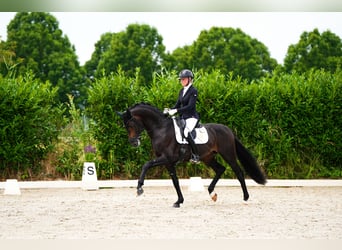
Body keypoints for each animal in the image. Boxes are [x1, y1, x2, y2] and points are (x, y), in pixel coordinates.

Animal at [119, 102, 266, 208]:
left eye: (131, 124)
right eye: (125, 126)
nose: (133, 143)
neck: (161, 129)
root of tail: (227, 129)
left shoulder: (167, 158)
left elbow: (146, 164)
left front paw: (139, 188)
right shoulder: (168, 162)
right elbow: (175, 181)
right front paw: (179, 201)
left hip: (228, 154)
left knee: (238, 172)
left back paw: (245, 197)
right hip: (208, 157)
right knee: (220, 169)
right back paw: (212, 193)